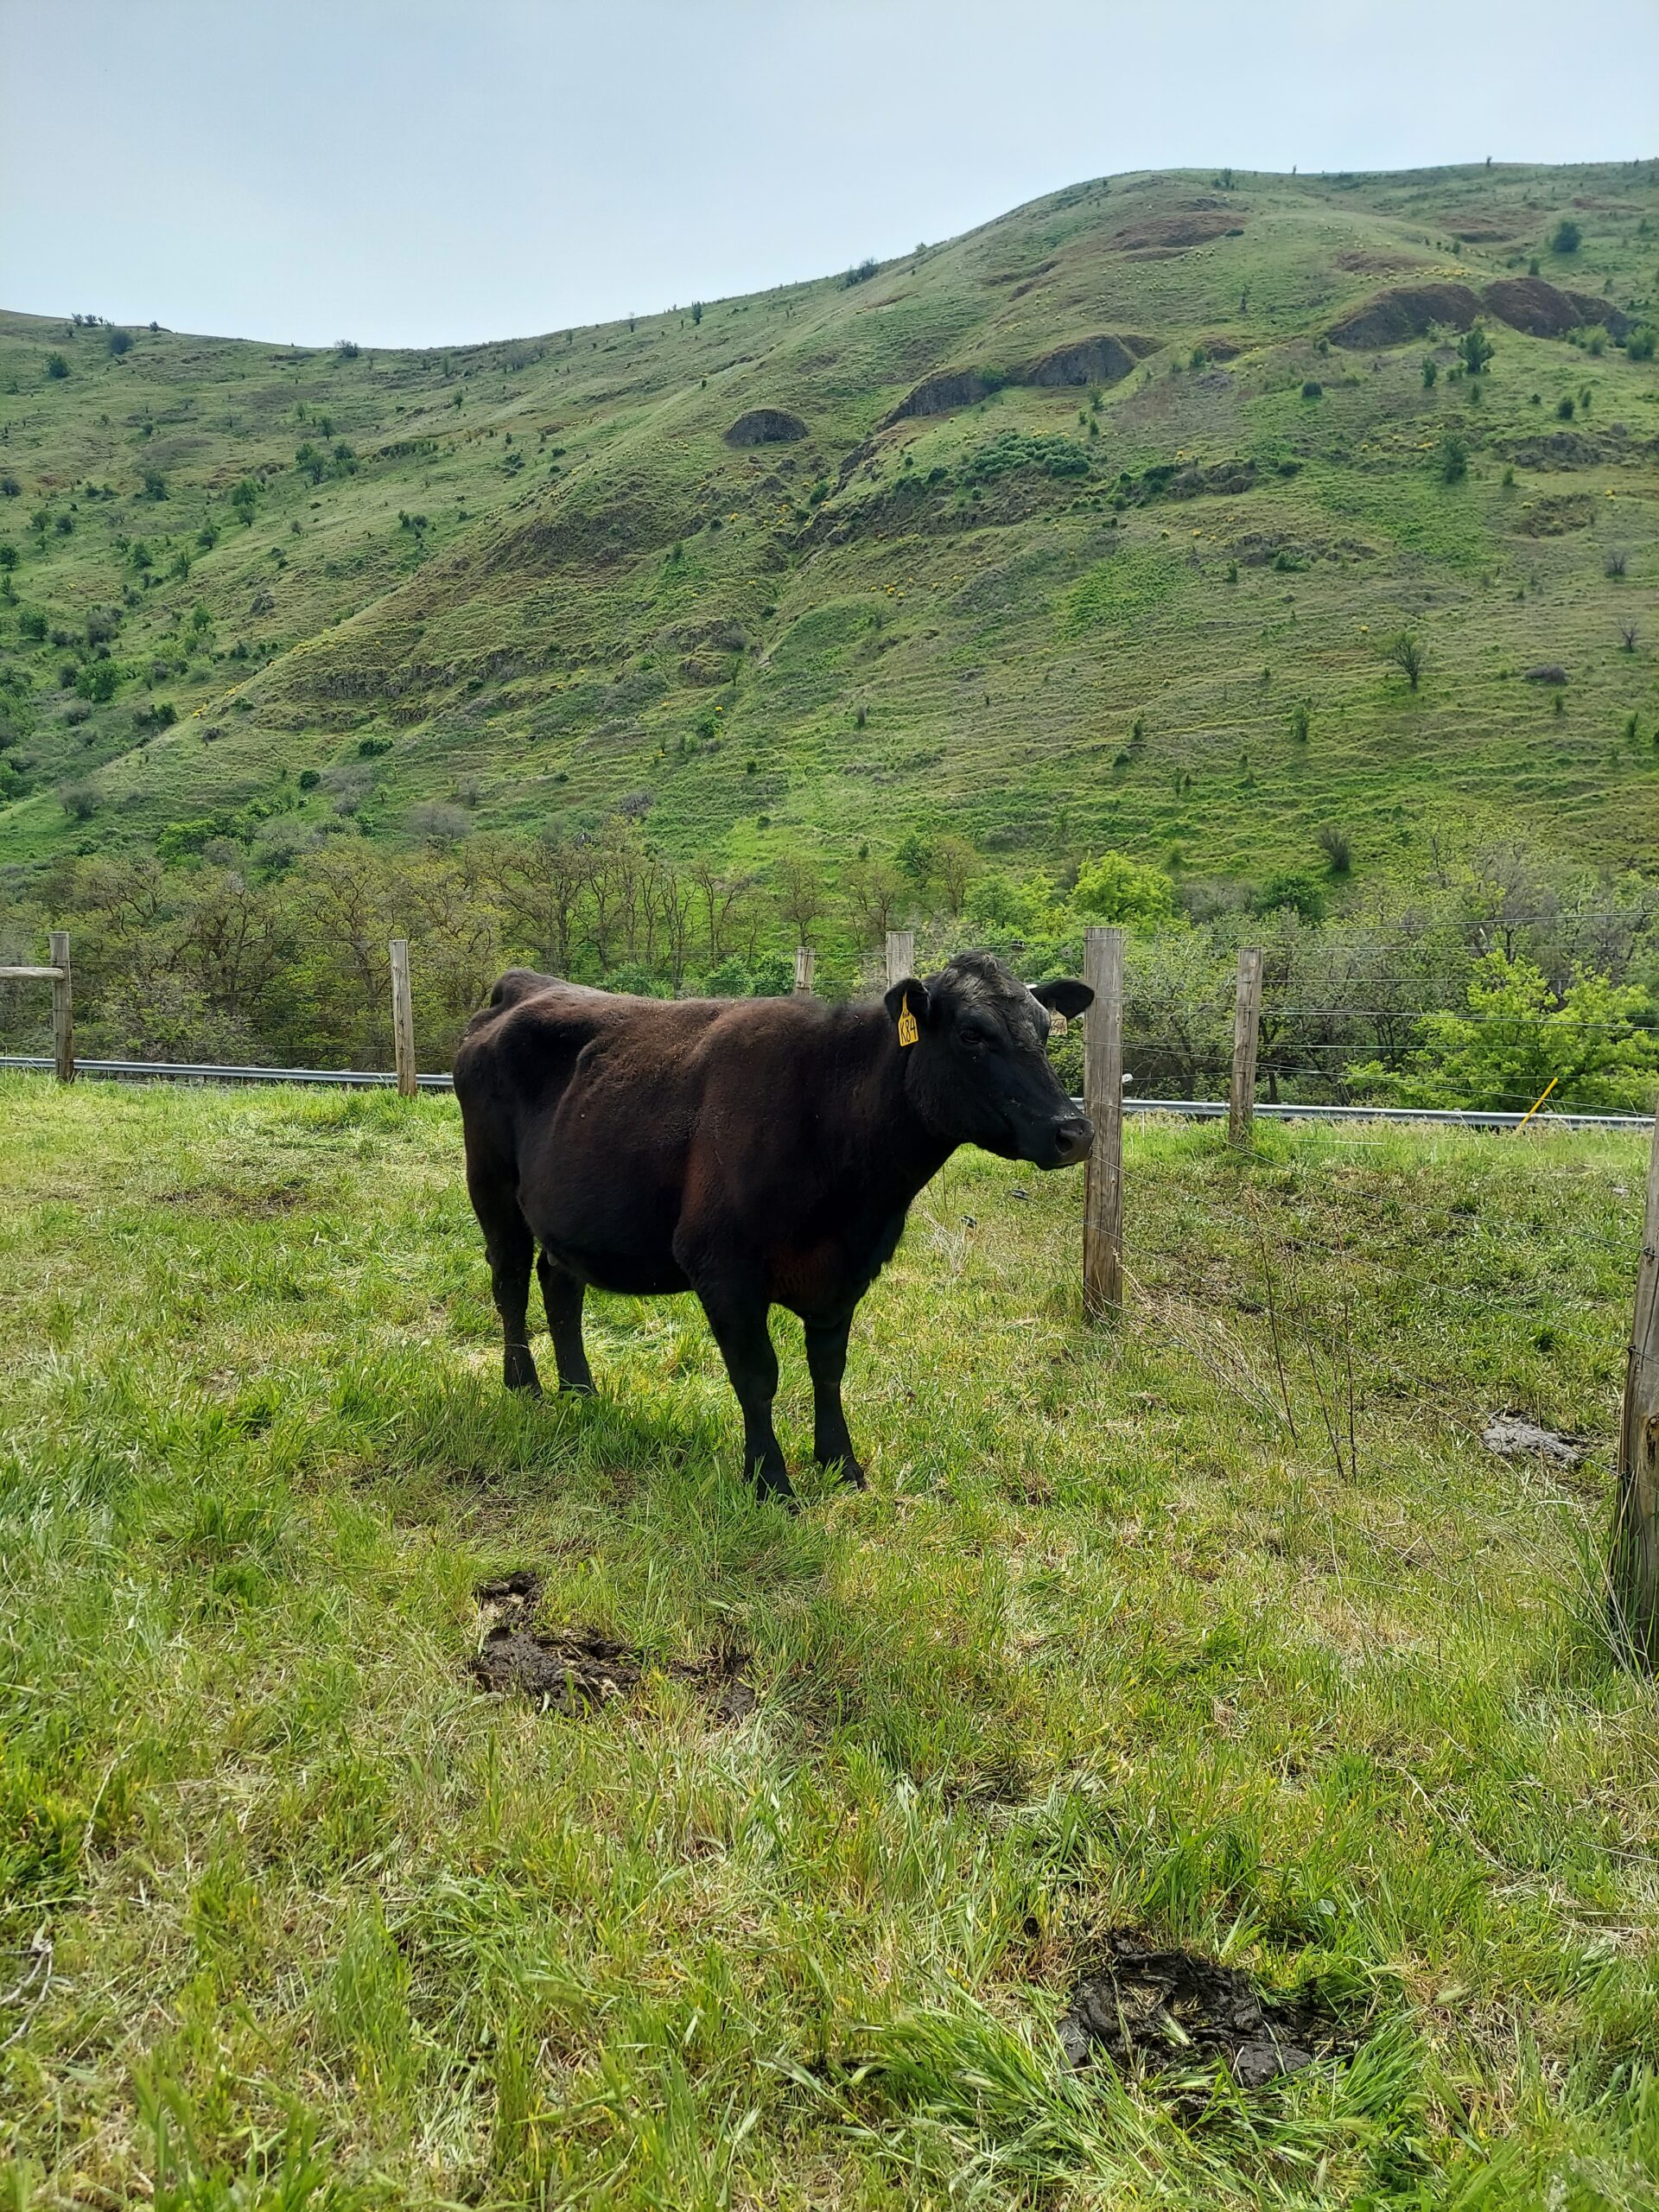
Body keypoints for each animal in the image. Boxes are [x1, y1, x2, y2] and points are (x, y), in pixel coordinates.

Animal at [452, 950, 1094, 1507]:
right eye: (971, 1034)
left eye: (1045, 1031)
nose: (1075, 1132)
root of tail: (524, 985)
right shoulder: (724, 1269)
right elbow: (758, 1377)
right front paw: (770, 1483)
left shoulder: (847, 1271)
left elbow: (829, 1368)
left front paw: (841, 1464)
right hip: (490, 1184)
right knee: (510, 1282)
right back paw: (525, 1386)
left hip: (565, 1213)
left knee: (560, 1285)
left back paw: (580, 1392)